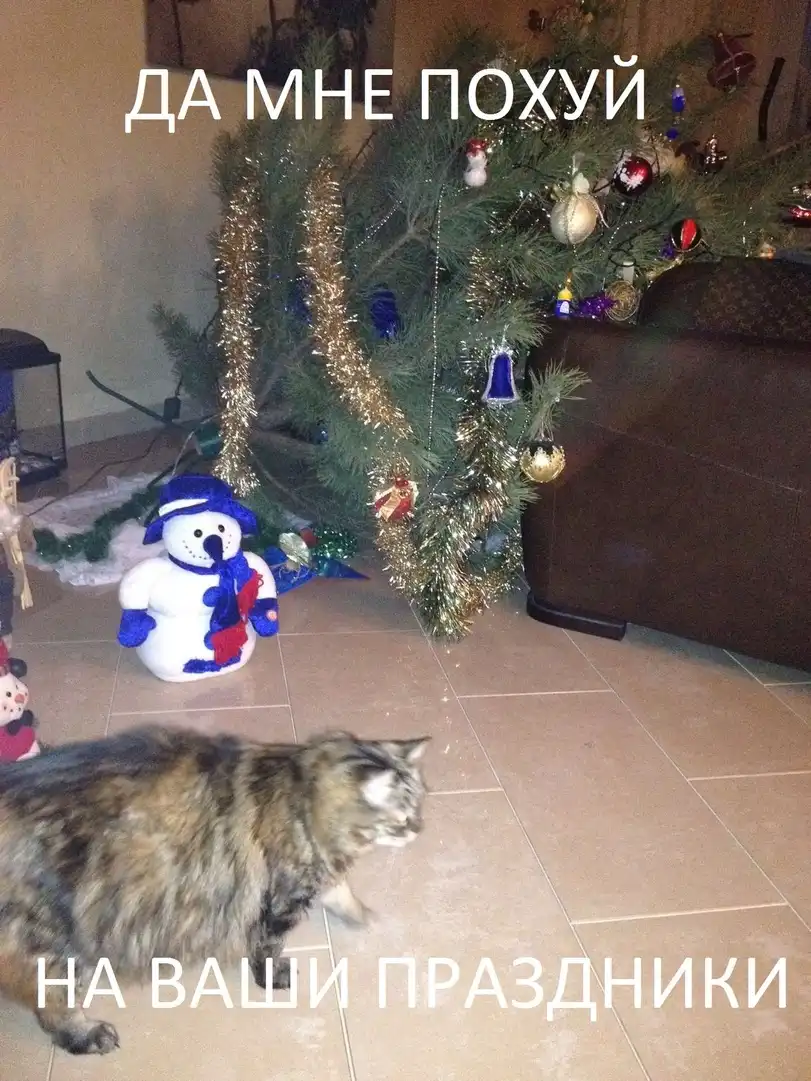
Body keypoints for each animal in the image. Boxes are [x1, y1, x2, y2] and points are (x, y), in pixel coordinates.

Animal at [0, 724, 428, 1055]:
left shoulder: (314, 872)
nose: (420, 829)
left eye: (420, 808)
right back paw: (87, 1035)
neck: (301, 796)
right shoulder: (281, 896)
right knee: (51, 1004)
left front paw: (364, 916)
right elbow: (267, 946)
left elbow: (342, 894)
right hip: (56, 945)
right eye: (403, 818)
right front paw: (273, 977)